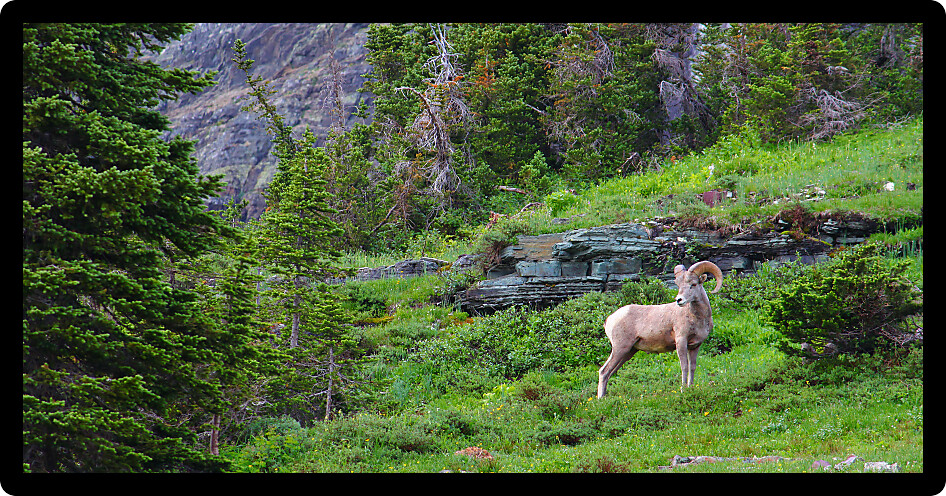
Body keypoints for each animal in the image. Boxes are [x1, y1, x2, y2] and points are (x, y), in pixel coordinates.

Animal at [597, 261, 723, 398]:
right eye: (679, 285)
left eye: (693, 284)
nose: (679, 300)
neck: (697, 318)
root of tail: (609, 319)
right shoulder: (681, 342)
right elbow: (684, 366)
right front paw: (683, 390)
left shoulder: (695, 346)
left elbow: (692, 367)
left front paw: (691, 388)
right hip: (620, 349)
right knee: (604, 371)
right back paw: (600, 399)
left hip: (628, 352)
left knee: (609, 372)